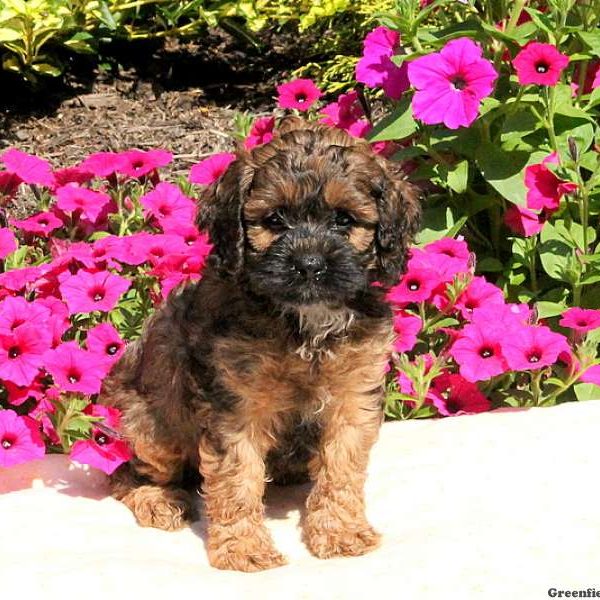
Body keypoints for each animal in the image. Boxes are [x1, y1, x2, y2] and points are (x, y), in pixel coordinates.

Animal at [98, 118, 420, 572]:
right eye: (275, 218)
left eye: (344, 220)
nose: (309, 265)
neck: (303, 323)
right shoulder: (236, 404)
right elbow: (237, 477)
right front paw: (243, 548)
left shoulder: (354, 395)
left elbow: (341, 467)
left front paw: (340, 532)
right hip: (155, 428)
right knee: (125, 473)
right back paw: (159, 501)